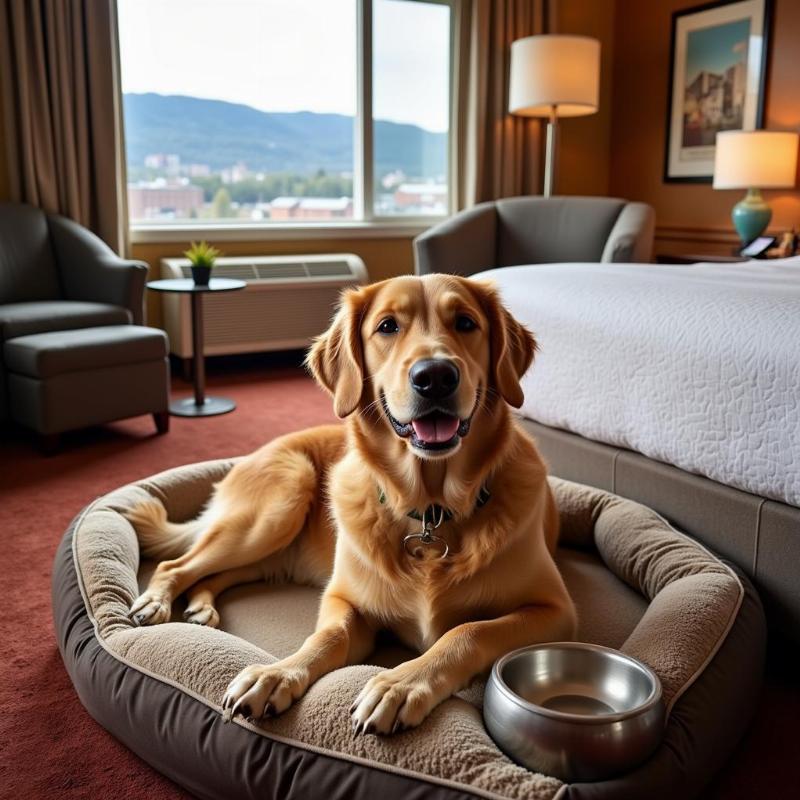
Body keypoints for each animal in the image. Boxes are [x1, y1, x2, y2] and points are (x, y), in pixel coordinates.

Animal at [126, 276, 576, 736]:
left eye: (466, 322)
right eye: (387, 326)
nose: (434, 376)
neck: (430, 511)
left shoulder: (555, 611)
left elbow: (469, 632)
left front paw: (398, 685)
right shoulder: (344, 600)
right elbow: (328, 636)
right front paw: (274, 675)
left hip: (268, 550)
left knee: (212, 575)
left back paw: (200, 607)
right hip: (278, 504)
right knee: (177, 565)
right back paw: (156, 602)